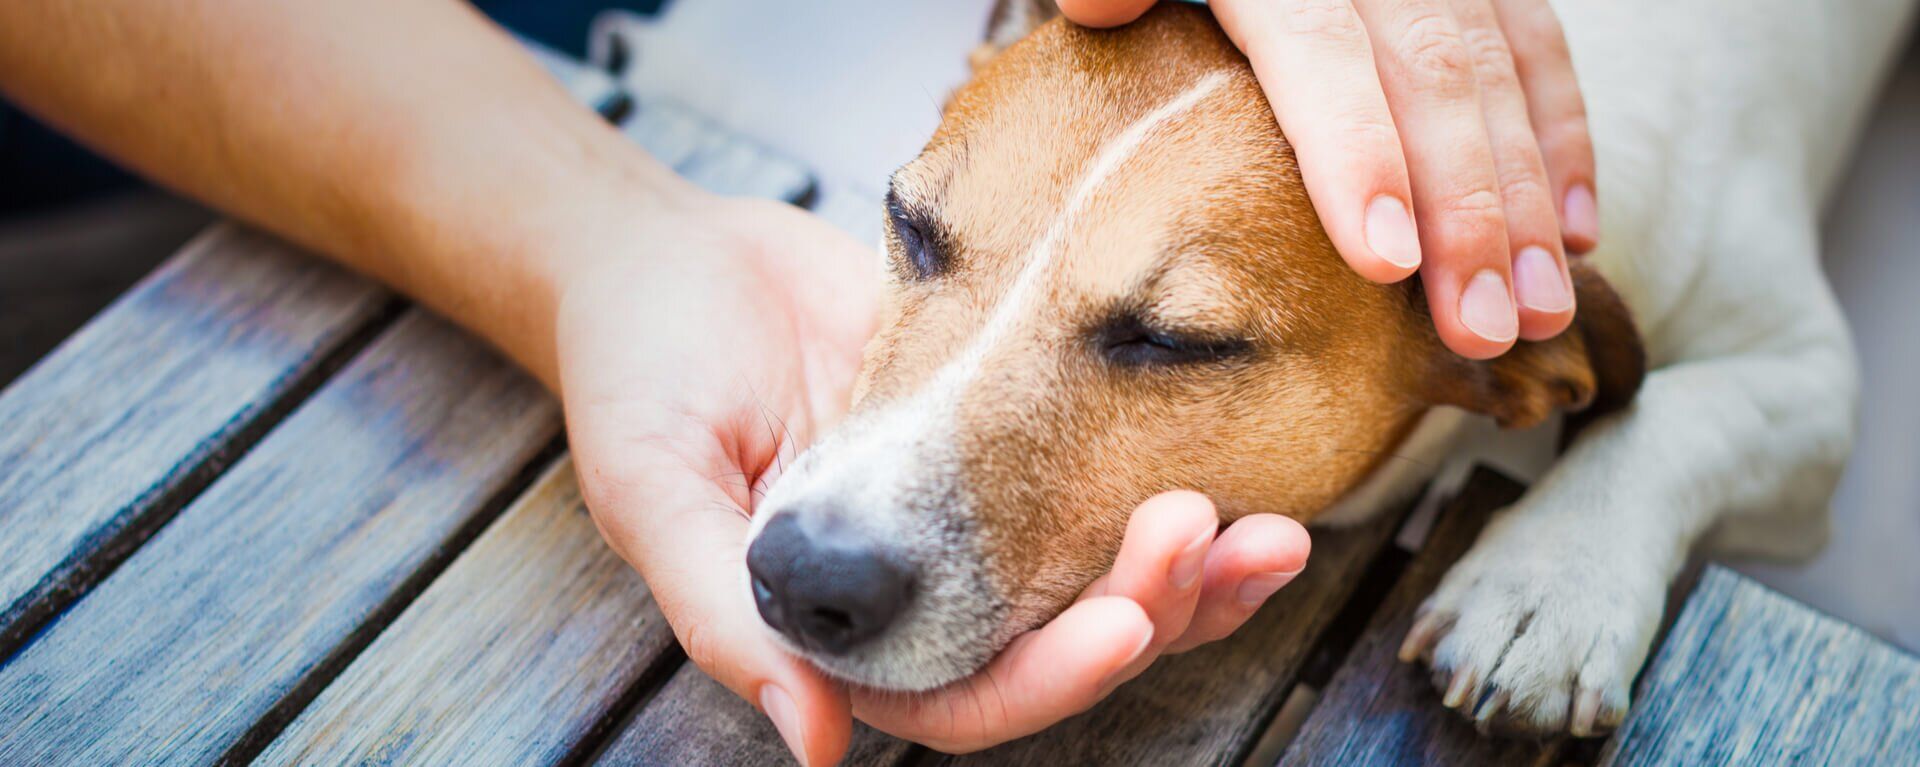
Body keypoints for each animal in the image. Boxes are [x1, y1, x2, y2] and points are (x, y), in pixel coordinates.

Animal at [733, 0, 1904, 738]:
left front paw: (1550, 586)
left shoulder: (1811, 384)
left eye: (1175, 341)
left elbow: (1680, 411)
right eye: (909, 225)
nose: (804, 574)